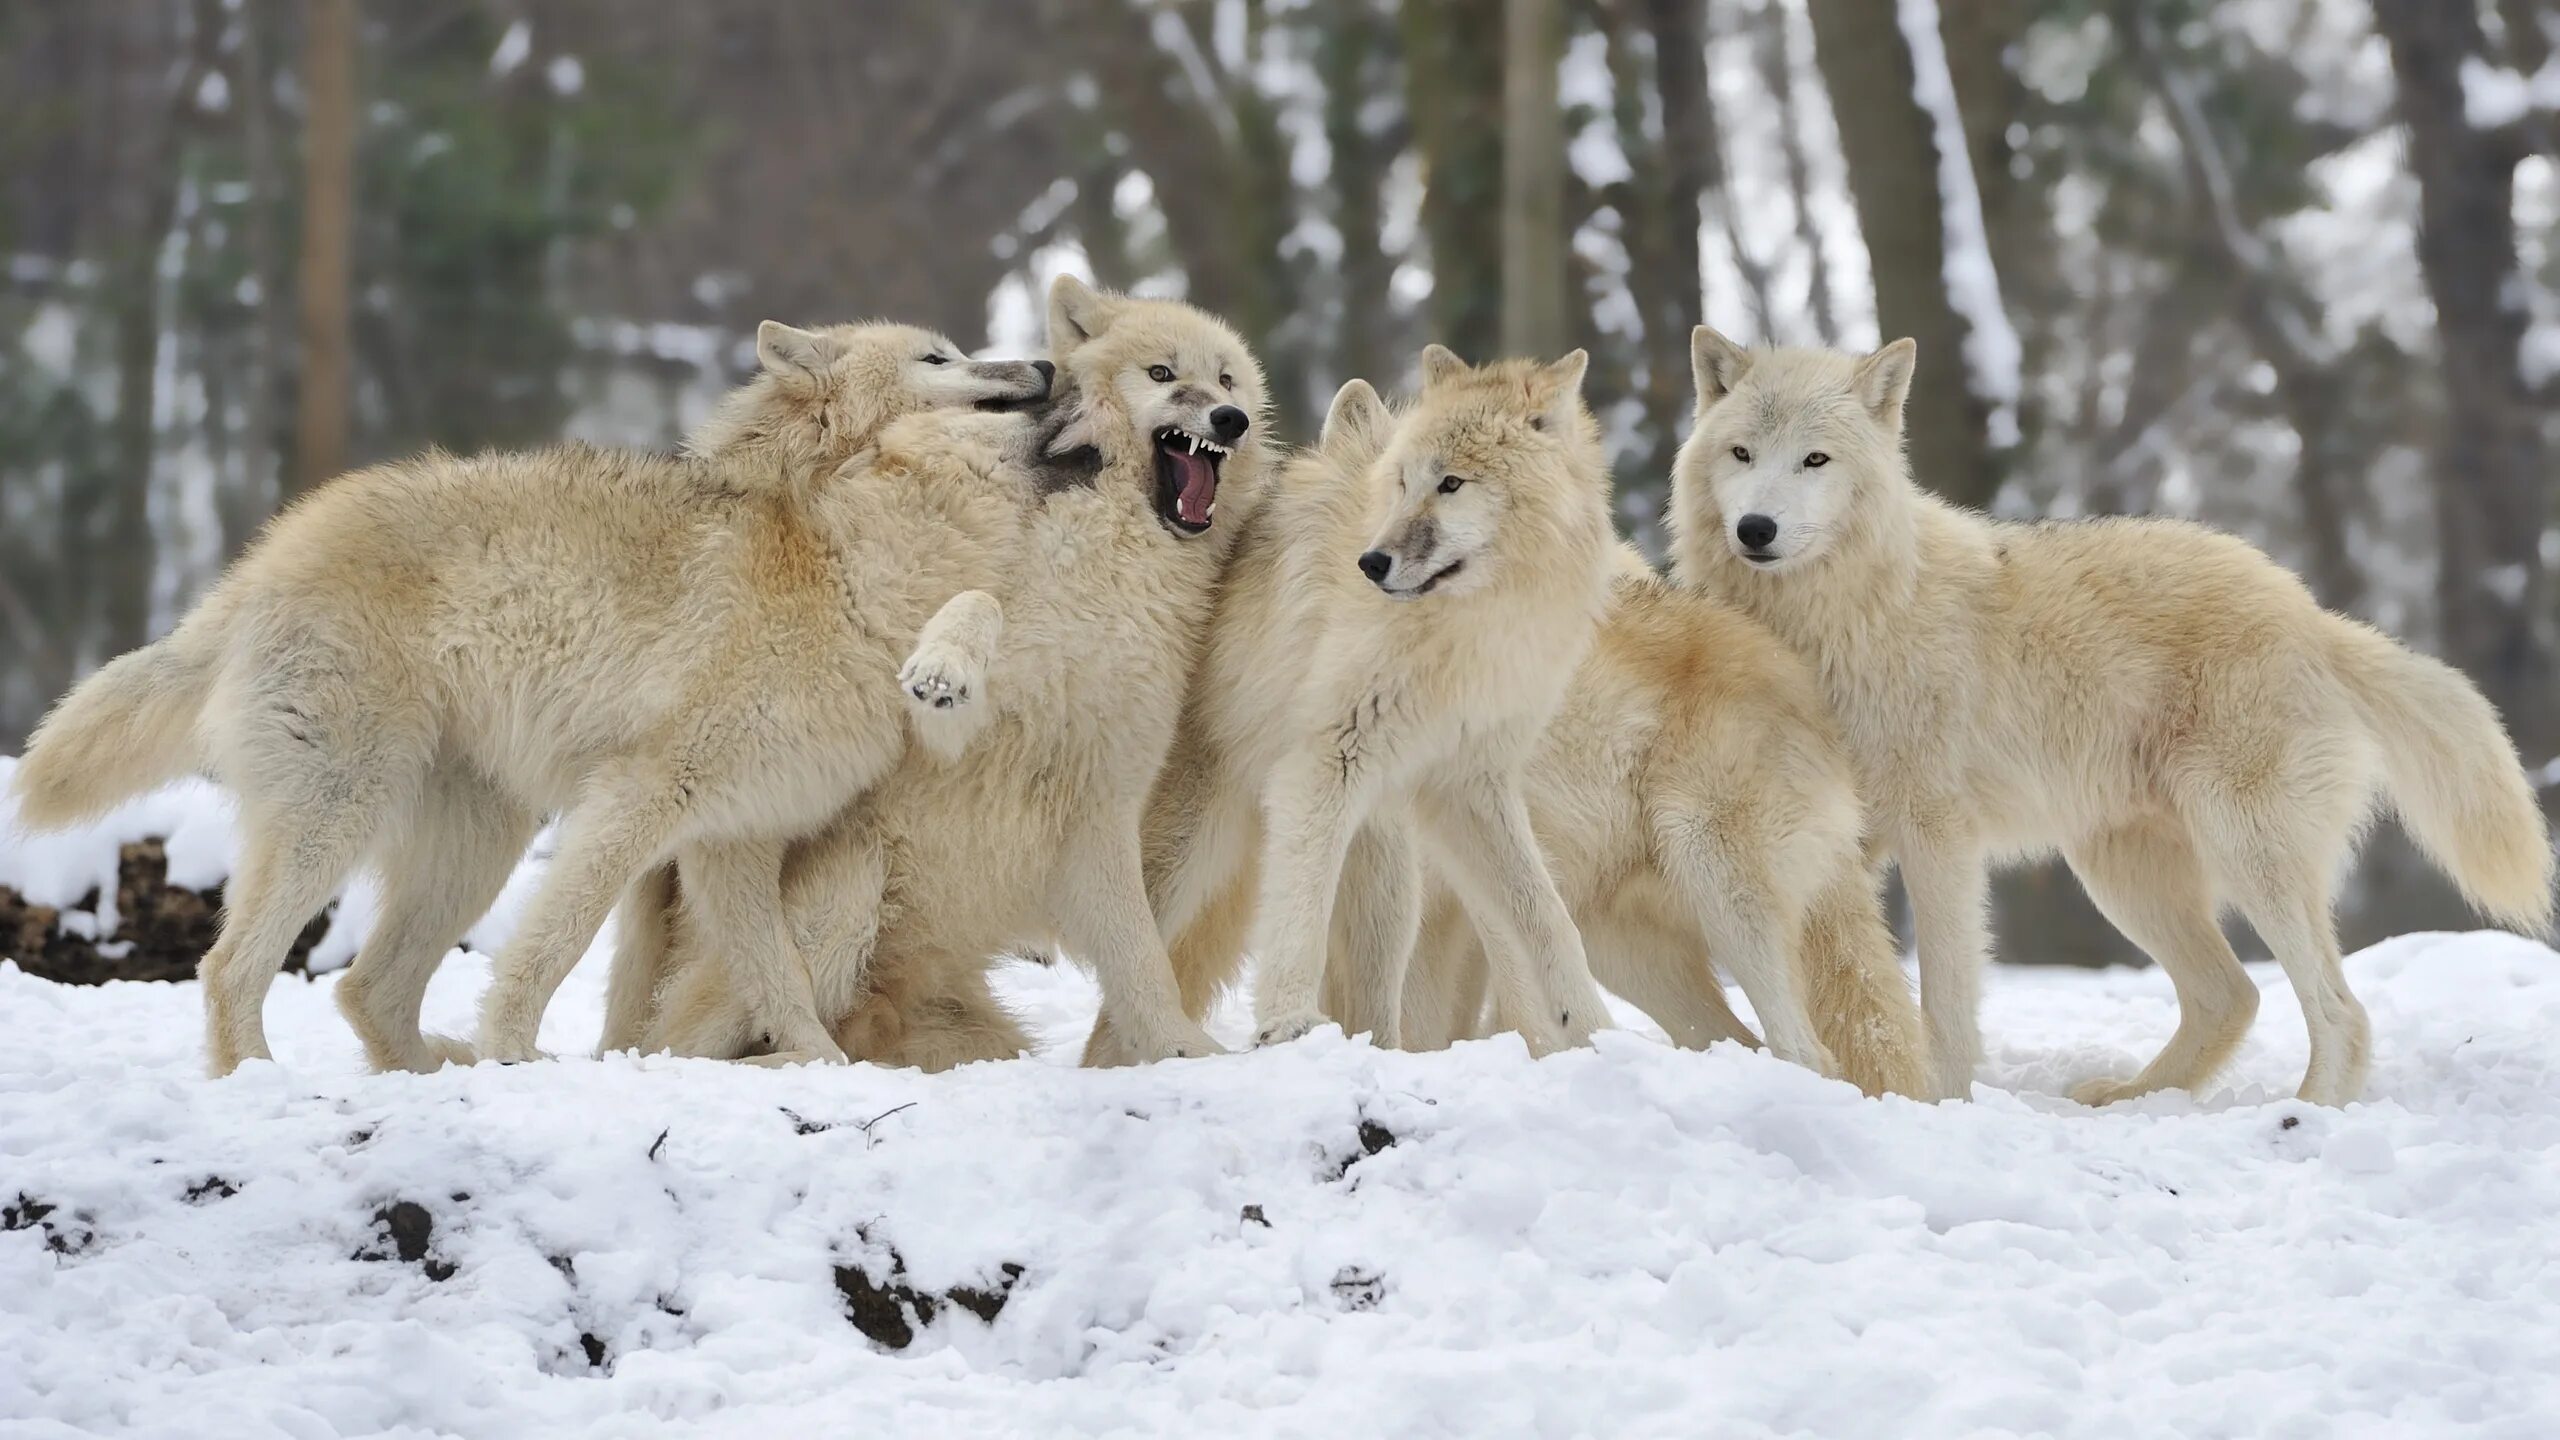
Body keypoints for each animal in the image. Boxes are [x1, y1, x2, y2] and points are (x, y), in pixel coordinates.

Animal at [10, 319, 1044, 1071]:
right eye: (939, 356)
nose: (1039, 364)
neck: (837, 562)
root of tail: (254, 565)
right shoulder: (638, 799)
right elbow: (555, 947)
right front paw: (514, 1053)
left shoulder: (733, 842)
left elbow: (780, 981)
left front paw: (824, 1070)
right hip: (342, 815)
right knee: (230, 968)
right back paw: (265, 1085)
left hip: (474, 846)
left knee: (365, 989)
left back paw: (430, 1074)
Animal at [1669, 325, 2549, 1101]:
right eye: (1742, 454)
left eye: (1815, 460)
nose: (1756, 529)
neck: (1838, 620)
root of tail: (2313, 614)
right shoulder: (1835, 842)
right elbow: (1847, 988)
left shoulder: (1936, 835)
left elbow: (1944, 1001)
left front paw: (1940, 1102)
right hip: (2122, 876)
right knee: (2233, 996)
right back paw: (2132, 1101)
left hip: (2243, 854)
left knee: (2340, 1012)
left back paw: (2306, 1115)